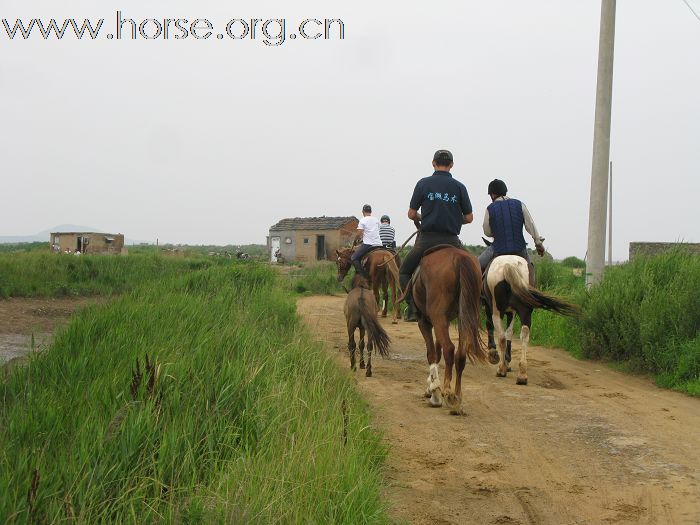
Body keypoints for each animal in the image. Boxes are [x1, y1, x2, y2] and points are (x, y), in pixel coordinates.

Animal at [410, 246, 486, 414]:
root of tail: (459, 258)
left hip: (438, 318)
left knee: (450, 348)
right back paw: (456, 397)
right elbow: (437, 352)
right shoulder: (443, 321)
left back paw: (447, 391)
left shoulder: (425, 322)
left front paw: (434, 391)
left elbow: (432, 354)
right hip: (464, 318)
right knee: (460, 355)